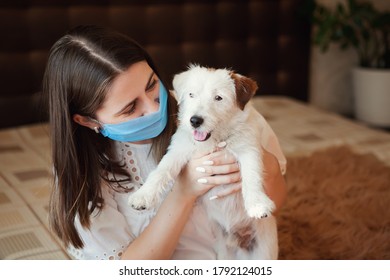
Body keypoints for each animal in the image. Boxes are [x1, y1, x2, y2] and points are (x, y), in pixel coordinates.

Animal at [129, 64, 278, 260]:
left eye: (218, 98)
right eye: (192, 95)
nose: (195, 121)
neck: (215, 140)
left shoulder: (248, 150)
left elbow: (251, 176)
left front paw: (257, 204)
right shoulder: (179, 149)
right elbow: (161, 171)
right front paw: (143, 196)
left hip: (263, 251)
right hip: (224, 252)